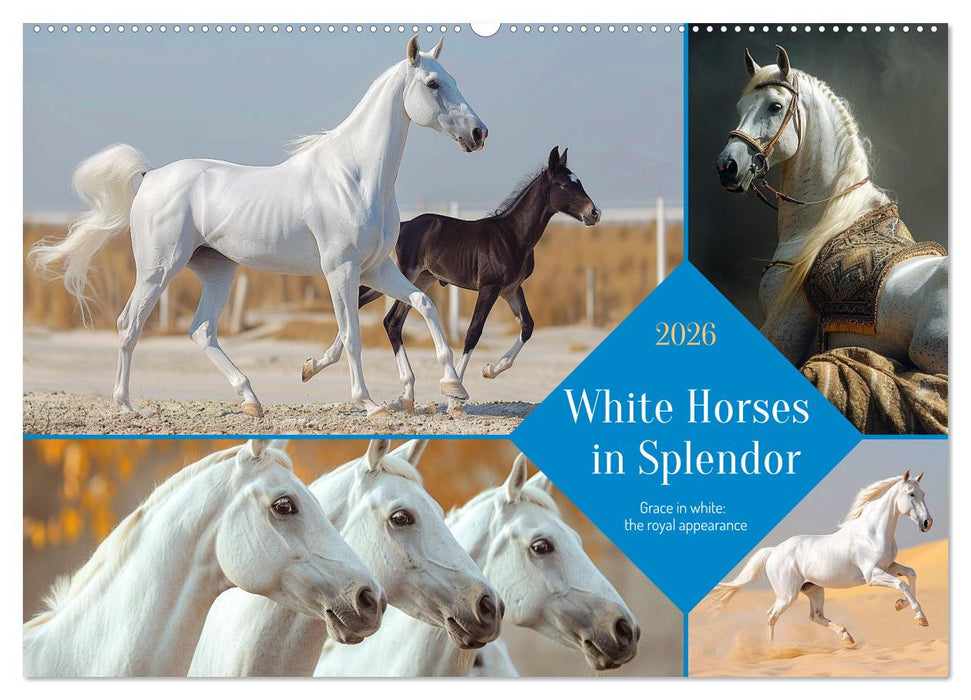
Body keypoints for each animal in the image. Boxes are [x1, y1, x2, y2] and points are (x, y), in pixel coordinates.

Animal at [28, 36, 487, 419]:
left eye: (451, 80)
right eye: (432, 84)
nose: (479, 133)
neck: (354, 177)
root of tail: (151, 176)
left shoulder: (376, 268)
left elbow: (421, 305)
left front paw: (452, 388)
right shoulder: (340, 268)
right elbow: (352, 334)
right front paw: (370, 404)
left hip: (217, 271)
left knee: (202, 331)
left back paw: (251, 400)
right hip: (159, 270)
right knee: (129, 325)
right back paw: (125, 405)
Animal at [301, 146, 601, 415]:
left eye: (579, 182)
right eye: (564, 185)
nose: (594, 213)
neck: (513, 235)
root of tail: (404, 226)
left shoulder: (511, 289)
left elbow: (527, 326)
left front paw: (490, 370)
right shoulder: (490, 288)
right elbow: (473, 332)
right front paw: (454, 397)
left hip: (419, 280)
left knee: (387, 319)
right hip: (405, 276)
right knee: (381, 314)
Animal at [702, 470, 933, 645]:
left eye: (923, 493)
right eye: (911, 494)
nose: (927, 523)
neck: (873, 532)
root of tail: (774, 551)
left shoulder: (889, 566)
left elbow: (911, 574)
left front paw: (900, 605)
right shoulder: (872, 575)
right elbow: (902, 584)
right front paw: (920, 618)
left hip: (813, 589)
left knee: (815, 616)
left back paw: (847, 637)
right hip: (787, 595)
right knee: (771, 615)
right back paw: (771, 650)